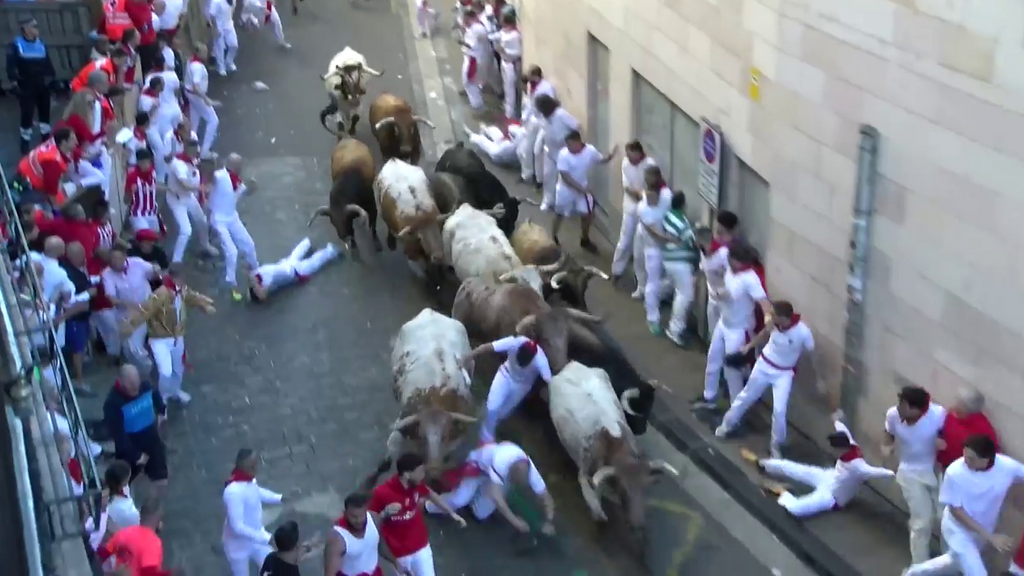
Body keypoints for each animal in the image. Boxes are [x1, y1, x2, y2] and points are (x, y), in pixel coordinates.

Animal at [552, 360, 679, 537]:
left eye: (643, 488)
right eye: (623, 489)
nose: (638, 526)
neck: (613, 443)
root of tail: (573, 364)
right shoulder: (584, 473)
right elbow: (596, 505)